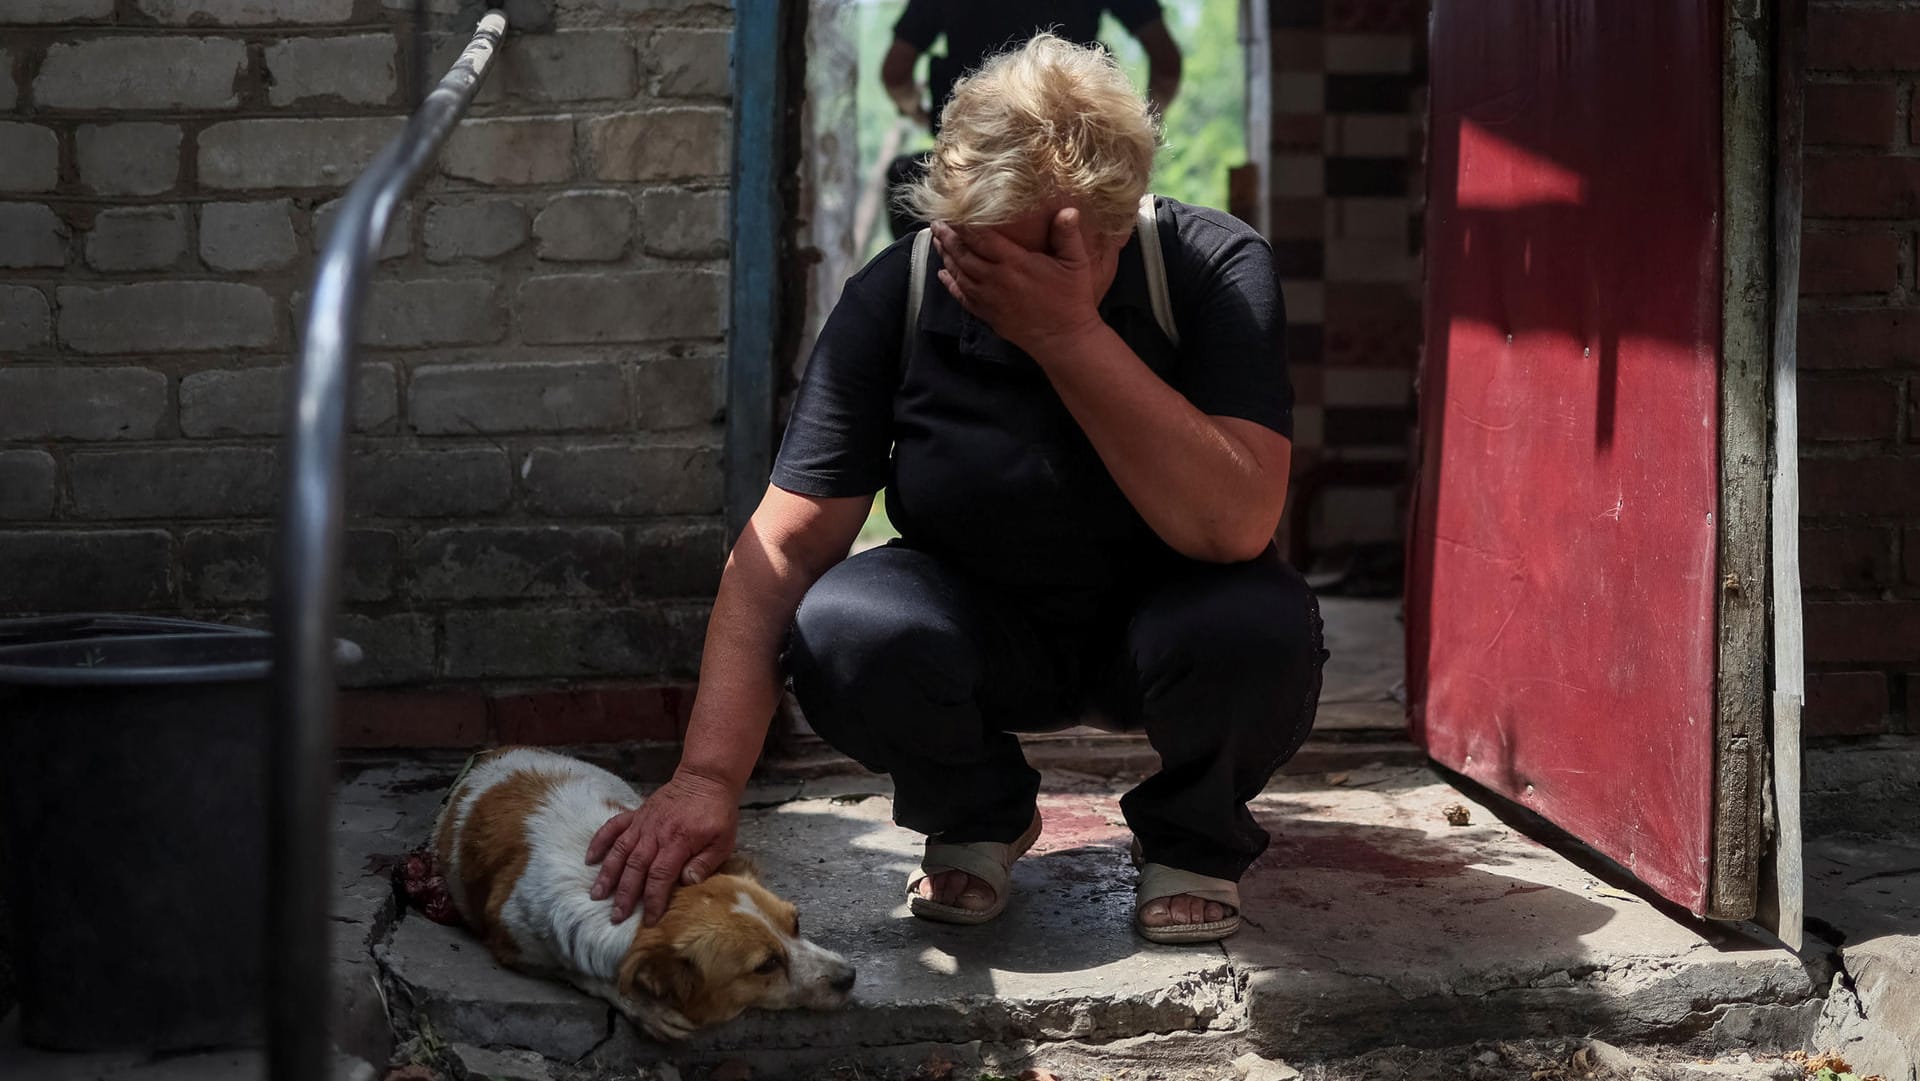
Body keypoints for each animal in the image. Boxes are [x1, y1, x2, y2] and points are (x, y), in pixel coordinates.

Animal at [439, 748, 860, 1044]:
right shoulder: (512, 943)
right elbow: (583, 973)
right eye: (766, 965)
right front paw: (644, 1008)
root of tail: (497, 751)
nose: (850, 976)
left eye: (796, 923)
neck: (641, 899)